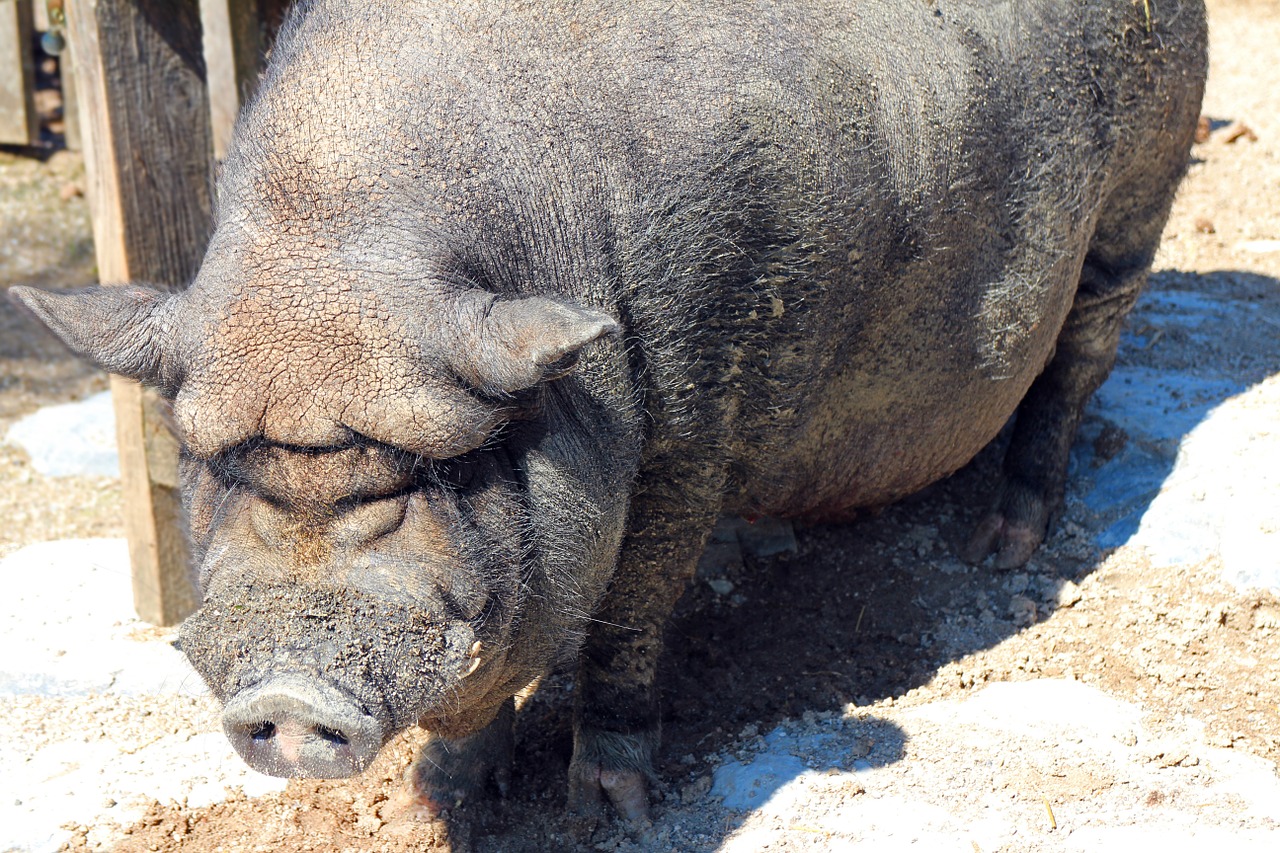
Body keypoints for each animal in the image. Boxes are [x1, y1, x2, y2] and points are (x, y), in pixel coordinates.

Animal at [15, 0, 1203, 824]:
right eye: (222, 467)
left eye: (438, 472)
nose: (296, 692)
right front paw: (456, 792)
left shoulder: (698, 414)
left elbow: (632, 609)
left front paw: (609, 809)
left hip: (1143, 186)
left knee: (1078, 361)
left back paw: (1004, 548)